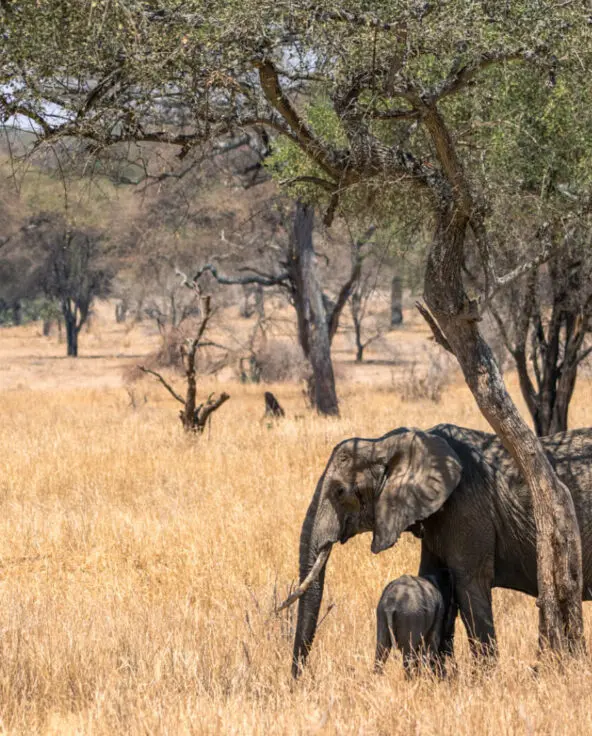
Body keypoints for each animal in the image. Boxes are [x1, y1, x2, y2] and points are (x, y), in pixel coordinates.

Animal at [286, 423, 592, 678]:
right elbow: (432, 576)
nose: (299, 682)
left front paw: (484, 682)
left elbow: (471, 585)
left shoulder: (467, 506)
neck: (388, 442)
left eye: (339, 492)